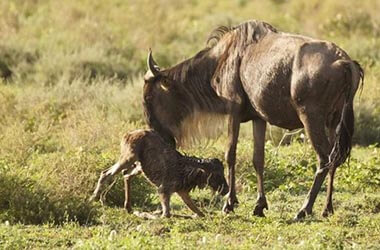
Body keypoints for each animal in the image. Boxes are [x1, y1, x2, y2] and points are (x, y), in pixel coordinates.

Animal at [90, 129, 227, 217]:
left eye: (222, 171)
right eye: (216, 175)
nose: (226, 189)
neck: (187, 176)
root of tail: (126, 135)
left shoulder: (182, 192)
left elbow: (199, 212)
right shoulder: (163, 190)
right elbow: (166, 214)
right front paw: (147, 213)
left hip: (139, 166)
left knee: (126, 175)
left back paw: (128, 207)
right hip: (128, 157)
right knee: (106, 173)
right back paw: (94, 198)